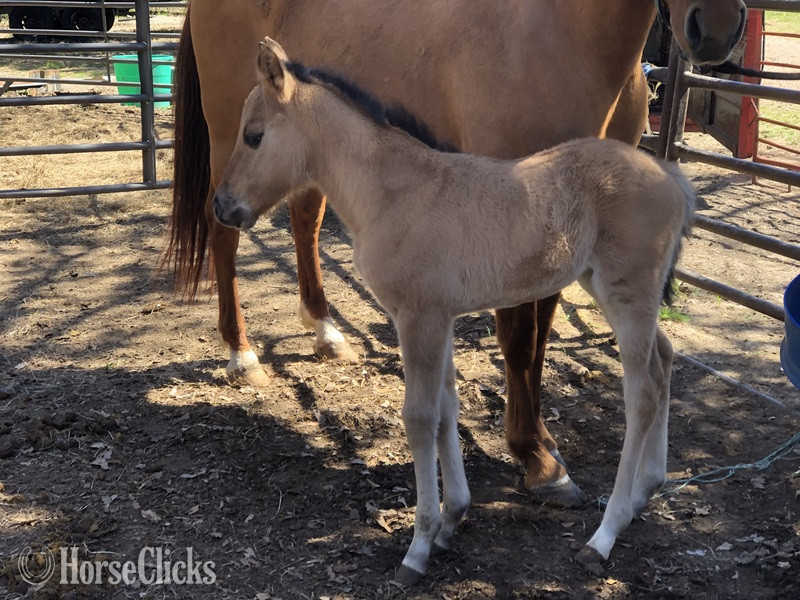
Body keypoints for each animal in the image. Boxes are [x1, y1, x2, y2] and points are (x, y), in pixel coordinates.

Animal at [167, 0, 746, 506]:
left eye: (258, 135)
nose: (716, 30)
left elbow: (532, 338)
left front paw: (539, 448)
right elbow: (513, 344)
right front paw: (531, 460)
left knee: (302, 221)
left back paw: (324, 332)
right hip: (221, 133)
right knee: (225, 239)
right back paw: (243, 354)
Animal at [212, 37, 695, 584]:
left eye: (253, 136)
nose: (222, 207)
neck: (393, 194)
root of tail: (673, 176)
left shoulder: (419, 318)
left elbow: (420, 418)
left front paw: (418, 547)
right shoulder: (437, 319)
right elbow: (447, 409)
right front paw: (451, 521)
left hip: (628, 292)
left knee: (642, 393)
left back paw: (605, 534)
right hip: (613, 290)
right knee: (664, 358)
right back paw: (644, 491)